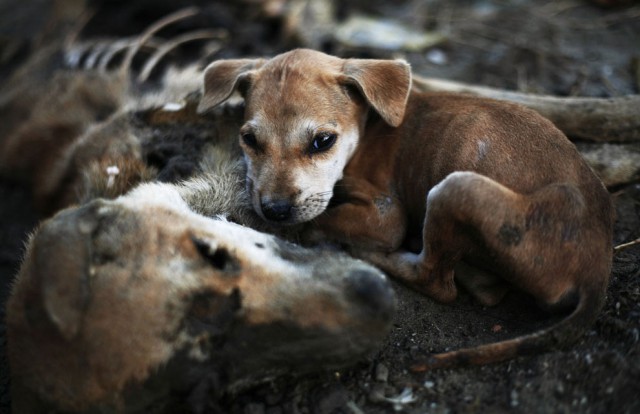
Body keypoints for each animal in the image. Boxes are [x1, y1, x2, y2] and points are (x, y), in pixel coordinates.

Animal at [199, 48, 616, 368]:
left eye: (323, 141)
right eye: (250, 140)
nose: (275, 210)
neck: (369, 126)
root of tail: (597, 271)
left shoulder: (385, 215)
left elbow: (323, 219)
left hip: (454, 189)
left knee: (437, 281)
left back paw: (374, 256)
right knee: (484, 288)